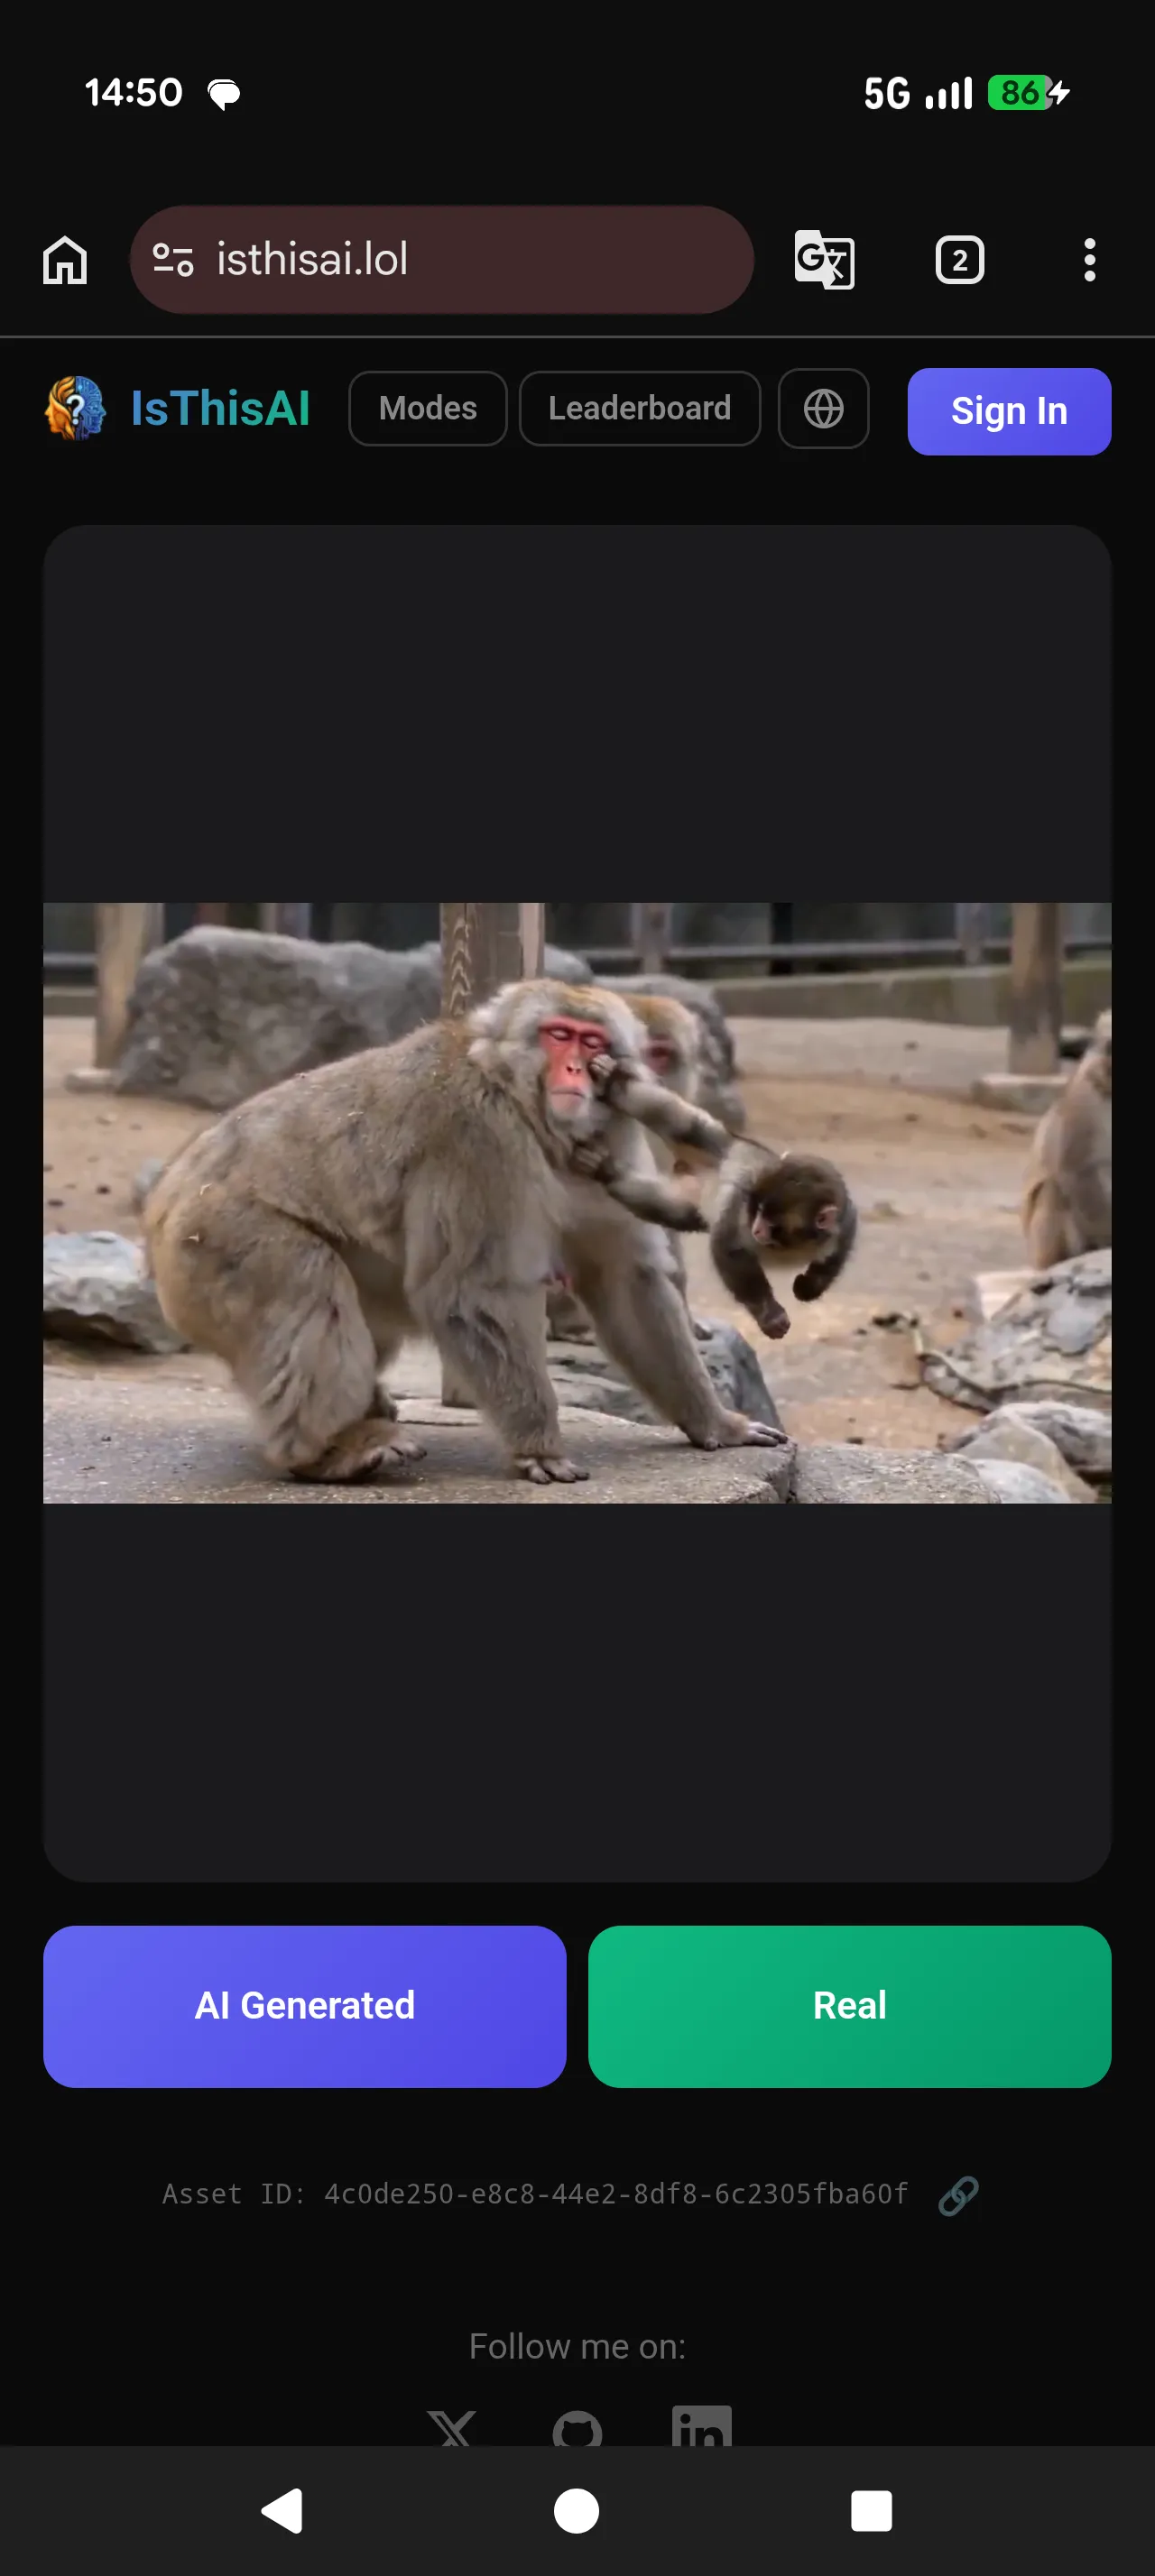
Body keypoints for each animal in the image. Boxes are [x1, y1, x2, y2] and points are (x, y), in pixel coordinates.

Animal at [145, 978, 784, 1486]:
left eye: (592, 1041)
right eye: (558, 1035)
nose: (575, 1070)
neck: (530, 1111)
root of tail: (162, 1202)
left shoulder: (615, 1133)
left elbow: (628, 1282)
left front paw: (714, 1422)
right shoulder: (478, 1137)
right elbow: (473, 1294)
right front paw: (537, 1444)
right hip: (219, 1239)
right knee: (308, 1293)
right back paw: (326, 1451)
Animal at [708, 1142, 858, 1341]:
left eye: (770, 1221)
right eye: (759, 1211)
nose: (757, 1229)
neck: (793, 1243)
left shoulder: (839, 1224)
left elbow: (845, 1237)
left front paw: (809, 1286)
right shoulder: (743, 1216)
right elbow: (728, 1247)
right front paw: (770, 1316)